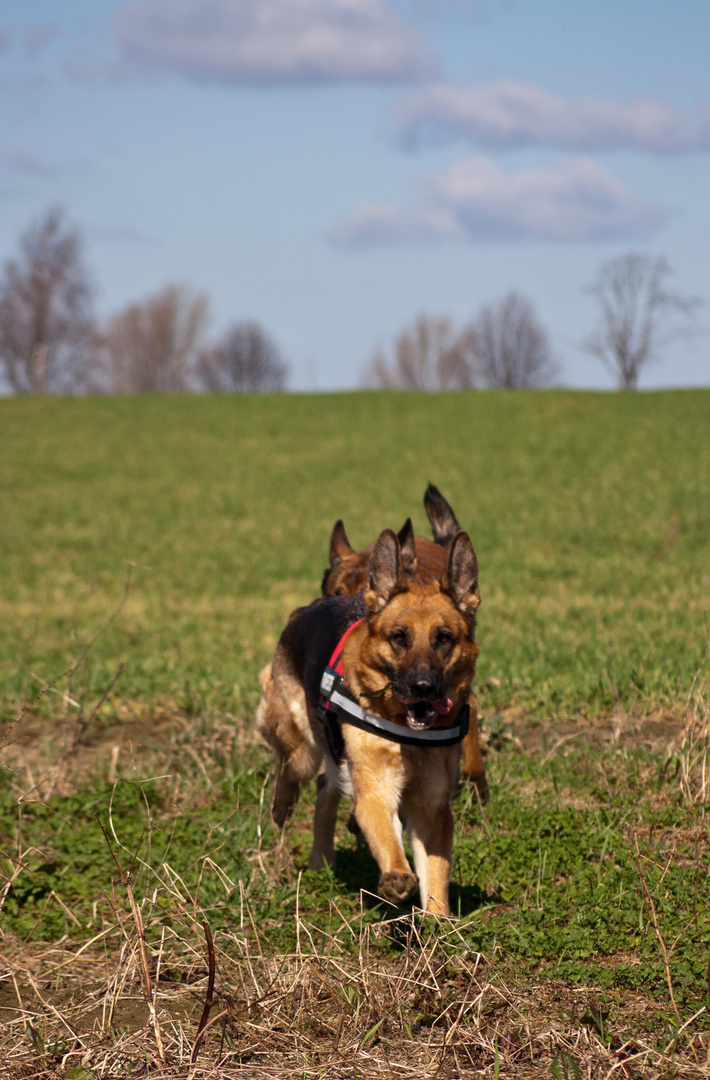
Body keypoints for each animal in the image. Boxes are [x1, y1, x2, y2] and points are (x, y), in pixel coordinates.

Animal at [257, 527, 479, 915]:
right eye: (399, 637)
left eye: (444, 639)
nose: (423, 687)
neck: (405, 734)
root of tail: (307, 608)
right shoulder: (375, 791)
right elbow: (389, 841)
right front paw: (397, 877)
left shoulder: (432, 809)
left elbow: (435, 875)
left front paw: (441, 923)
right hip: (302, 749)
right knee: (290, 771)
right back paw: (281, 813)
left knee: (324, 788)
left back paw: (321, 860)